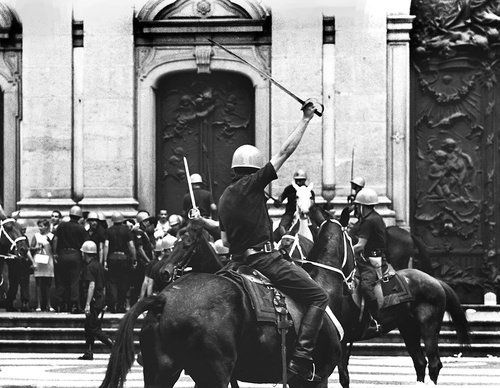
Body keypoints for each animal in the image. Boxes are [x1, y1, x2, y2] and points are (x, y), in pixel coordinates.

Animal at [98, 218, 352, 388]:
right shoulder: (317, 380)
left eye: (188, 243)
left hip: (162, 371)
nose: (163, 272)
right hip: (213, 372)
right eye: (351, 238)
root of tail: (164, 298)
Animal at [304, 205, 472, 386]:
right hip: (408, 327)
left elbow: (341, 377)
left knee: (434, 364)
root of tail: (435, 280)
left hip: (429, 327)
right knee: (420, 362)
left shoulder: (341, 342)